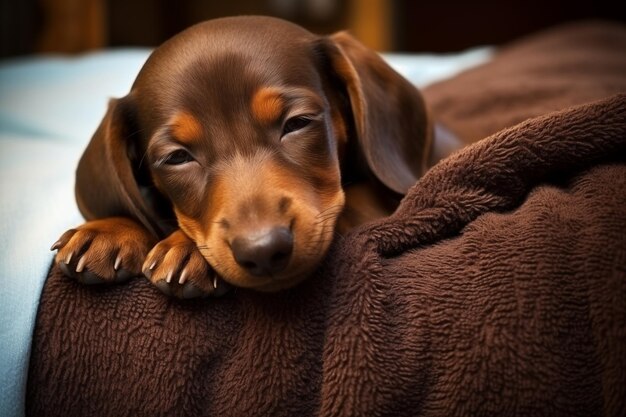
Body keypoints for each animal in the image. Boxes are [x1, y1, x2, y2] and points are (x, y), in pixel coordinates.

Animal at [51, 15, 434, 296]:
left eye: (297, 123)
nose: (263, 251)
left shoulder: (377, 204)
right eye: (177, 158)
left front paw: (187, 248)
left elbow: (349, 205)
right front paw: (111, 228)